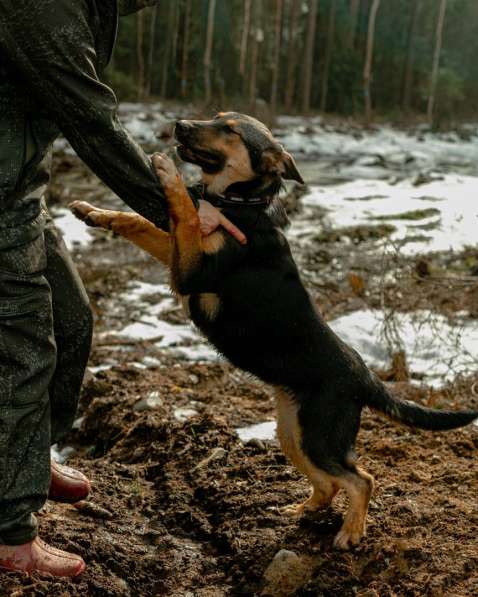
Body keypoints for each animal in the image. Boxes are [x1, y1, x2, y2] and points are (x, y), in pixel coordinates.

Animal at [71, 112, 478, 548]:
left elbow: (185, 214)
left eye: (230, 129)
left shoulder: (192, 272)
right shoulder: (183, 263)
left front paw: (169, 174)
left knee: (362, 479)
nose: (179, 124)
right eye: (216, 117)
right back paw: (302, 511)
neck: (238, 204)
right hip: (292, 432)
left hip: (318, 435)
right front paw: (93, 212)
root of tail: (366, 376)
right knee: (330, 483)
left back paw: (350, 533)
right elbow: (144, 224)